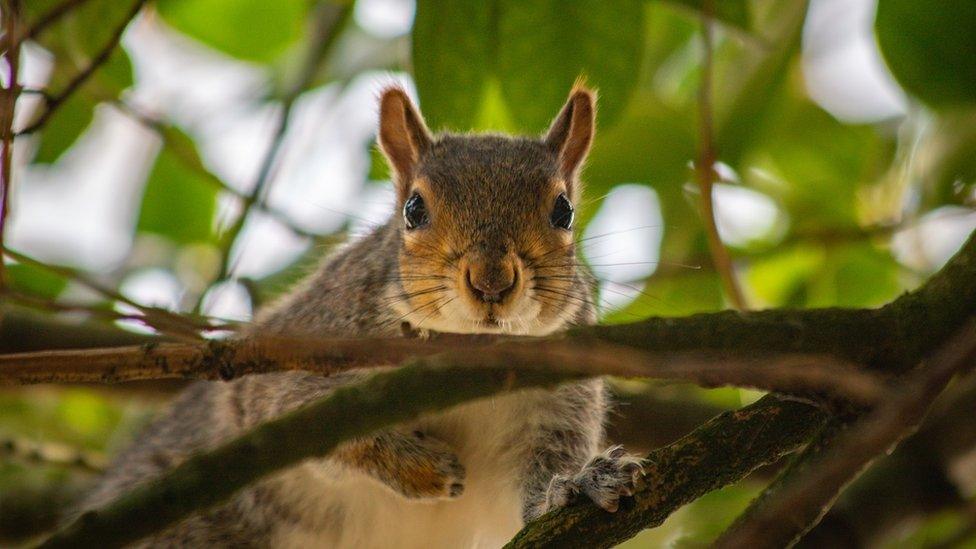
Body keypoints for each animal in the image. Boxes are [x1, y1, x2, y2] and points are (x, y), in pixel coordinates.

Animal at [80, 83, 644, 544]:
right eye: (413, 210)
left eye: (564, 212)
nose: (492, 281)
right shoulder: (294, 360)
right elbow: (297, 418)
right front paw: (420, 469)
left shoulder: (557, 407)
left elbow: (536, 492)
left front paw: (576, 485)